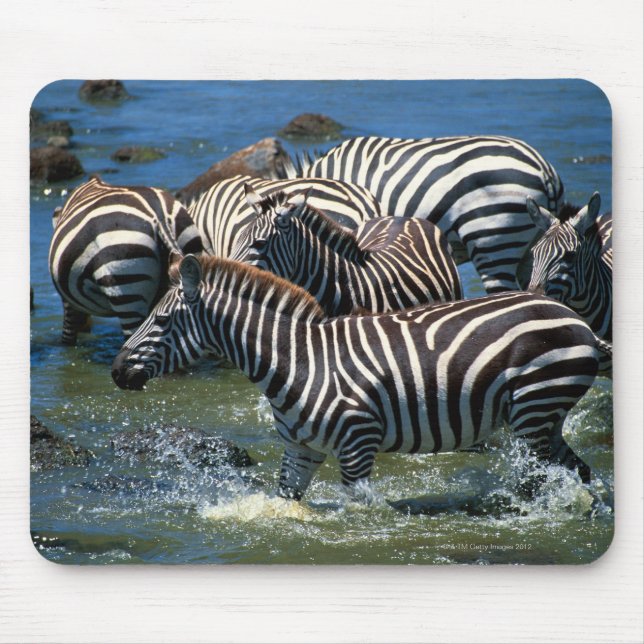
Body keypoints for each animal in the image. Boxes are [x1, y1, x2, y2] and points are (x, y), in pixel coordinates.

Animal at [112, 254, 609, 501]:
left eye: (161, 321)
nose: (116, 372)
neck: (298, 361)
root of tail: (573, 318)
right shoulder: (300, 451)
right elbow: (285, 503)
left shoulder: (357, 444)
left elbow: (361, 512)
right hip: (545, 418)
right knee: (578, 472)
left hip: (534, 408)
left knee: (541, 478)